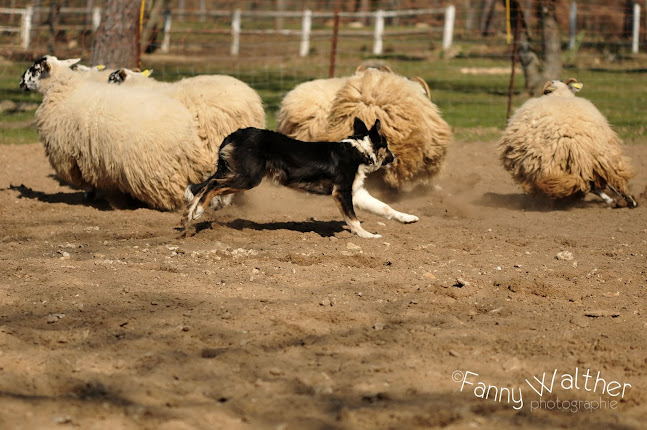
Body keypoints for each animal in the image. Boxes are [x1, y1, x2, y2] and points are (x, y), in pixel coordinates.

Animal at [19, 55, 213, 212]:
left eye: (35, 69)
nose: (20, 81)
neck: (65, 90)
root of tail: (187, 131)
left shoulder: (72, 155)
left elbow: (86, 179)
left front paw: (90, 196)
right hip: (187, 165)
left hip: (154, 168)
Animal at [496, 78, 636, 207]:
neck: (559, 93)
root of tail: (573, 141)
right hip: (599, 156)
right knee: (610, 178)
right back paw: (627, 201)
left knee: (595, 182)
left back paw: (617, 200)